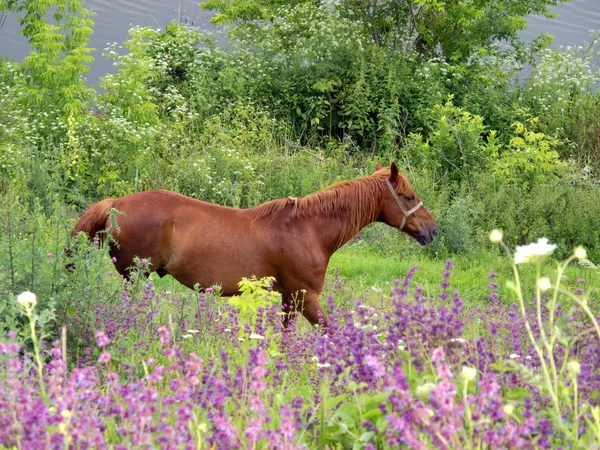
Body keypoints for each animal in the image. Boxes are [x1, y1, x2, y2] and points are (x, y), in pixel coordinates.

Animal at [69, 162, 436, 326]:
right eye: (408, 196)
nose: (431, 231)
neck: (309, 229)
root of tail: (115, 204)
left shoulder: (289, 297)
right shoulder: (306, 296)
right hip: (134, 276)